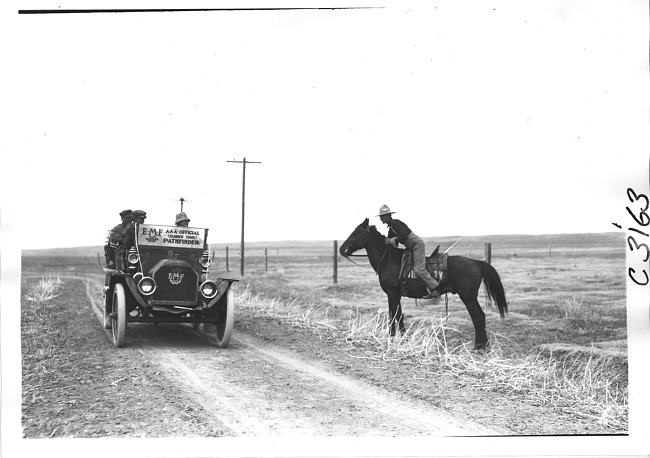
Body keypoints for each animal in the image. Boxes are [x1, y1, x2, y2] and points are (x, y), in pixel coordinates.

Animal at [340, 218, 506, 350]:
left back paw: (479, 347)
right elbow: (399, 316)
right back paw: (483, 346)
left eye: (356, 233)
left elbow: (393, 316)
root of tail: (476, 262)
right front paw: (403, 339)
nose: (342, 249)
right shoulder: (396, 295)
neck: (388, 261)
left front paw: (391, 339)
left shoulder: (392, 294)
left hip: (468, 297)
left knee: (478, 317)